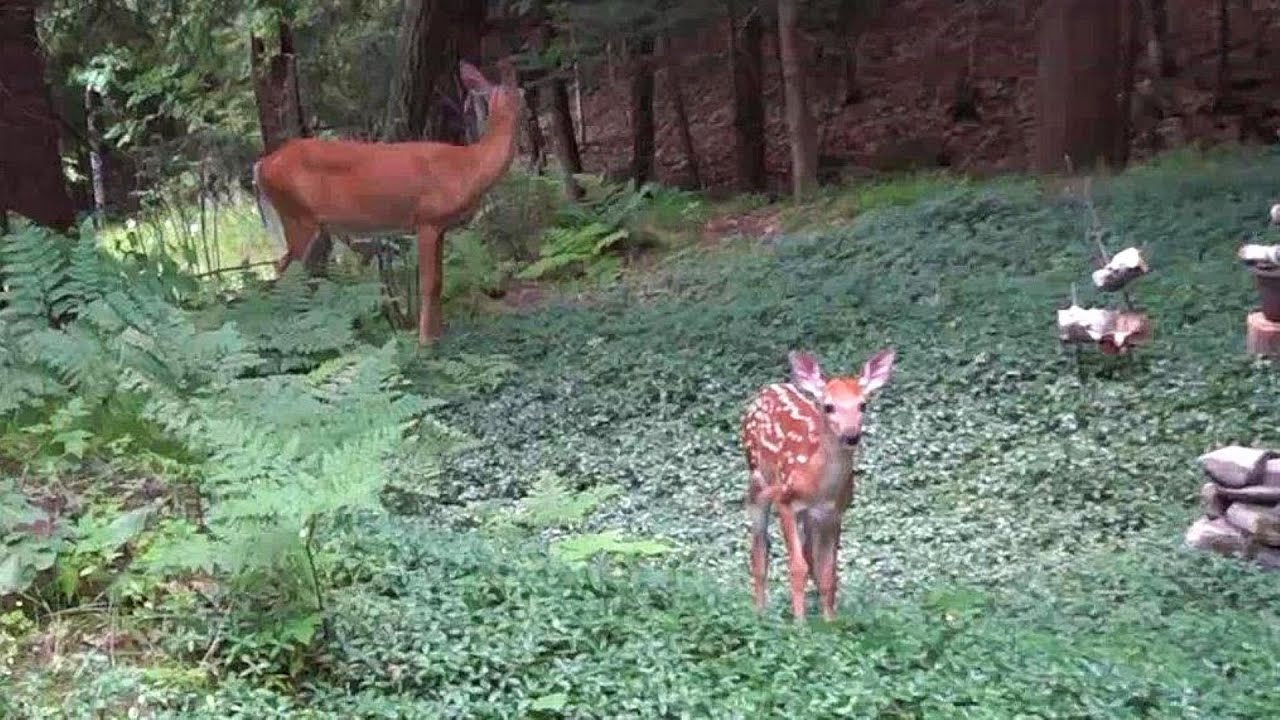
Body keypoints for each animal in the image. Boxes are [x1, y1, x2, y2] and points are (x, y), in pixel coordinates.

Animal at [252, 58, 525, 345]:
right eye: (522, 92)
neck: (469, 168)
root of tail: (261, 166)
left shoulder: (441, 227)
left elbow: (440, 280)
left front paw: (438, 336)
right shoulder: (427, 219)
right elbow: (429, 283)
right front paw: (425, 341)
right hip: (296, 215)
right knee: (281, 271)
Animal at [741, 347, 896, 622]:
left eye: (863, 404)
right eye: (828, 406)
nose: (851, 435)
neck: (821, 485)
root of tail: (769, 388)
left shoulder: (834, 513)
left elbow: (828, 571)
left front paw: (829, 621)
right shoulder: (786, 500)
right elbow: (797, 567)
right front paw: (800, 624)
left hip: (809, 516)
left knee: (808, 553)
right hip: (757, 480)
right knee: (760, 549)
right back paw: (760, 612)